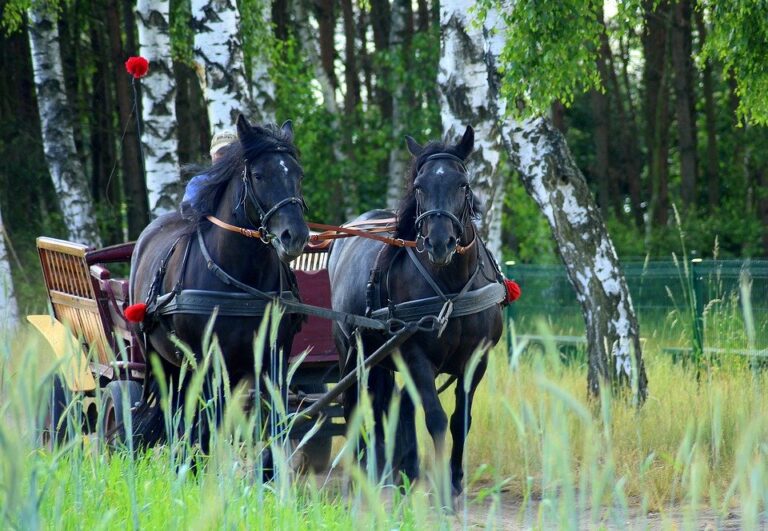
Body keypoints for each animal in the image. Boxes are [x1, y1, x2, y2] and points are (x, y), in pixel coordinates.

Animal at [129, 116, 308, 448]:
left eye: (297, 174)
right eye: (259, 175)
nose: (296, 236)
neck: (241, 282)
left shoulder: (273, 357)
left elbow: (273, 423)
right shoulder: (207, 360)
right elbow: (207, 425)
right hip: (163, 361)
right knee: (177, 417)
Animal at [328, 127, 504, 500]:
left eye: (462, 184)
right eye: (419, 186)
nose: (439, 243)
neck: (450, 287)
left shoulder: (477, 359)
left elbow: (460, 420)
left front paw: (453, 480)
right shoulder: (415, 354)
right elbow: (435, 418)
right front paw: (439, 488)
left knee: (393, 404)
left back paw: (398, 472)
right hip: (351, 349)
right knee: (354, 404)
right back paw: (360, 474)